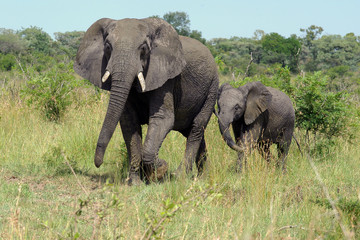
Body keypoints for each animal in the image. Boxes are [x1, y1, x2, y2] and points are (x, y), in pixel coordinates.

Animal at [74, 17, 218, 185]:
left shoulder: (166, 76)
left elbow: (162, 118)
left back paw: (179, 176)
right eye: (108, 47)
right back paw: (203, 177)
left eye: (143, 48)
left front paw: (160, 171)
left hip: (212, 89)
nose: (98, 163)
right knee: (193, 131)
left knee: (196, 127)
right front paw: (136, 182)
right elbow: (129, 122)